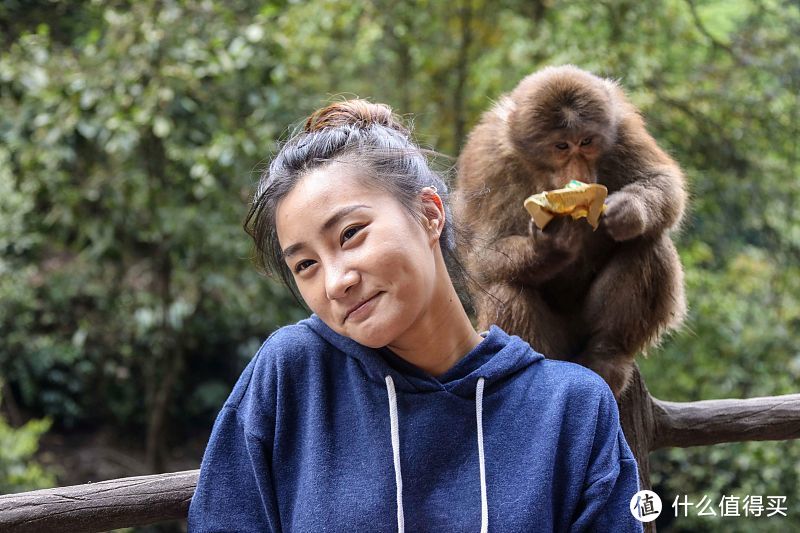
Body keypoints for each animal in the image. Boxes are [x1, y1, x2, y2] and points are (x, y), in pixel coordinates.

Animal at [456, 65, 688, 400]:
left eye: (587, 142)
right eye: (562, 146)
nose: (578, 173)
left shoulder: (623, 127)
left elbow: (662, 180)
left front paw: (627, 211)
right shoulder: (488, 162)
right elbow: (484, 255)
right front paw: (550, 247)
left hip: (584, 329)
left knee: (649, 243)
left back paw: (608, 353)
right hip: (556, 344)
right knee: (506, 287)